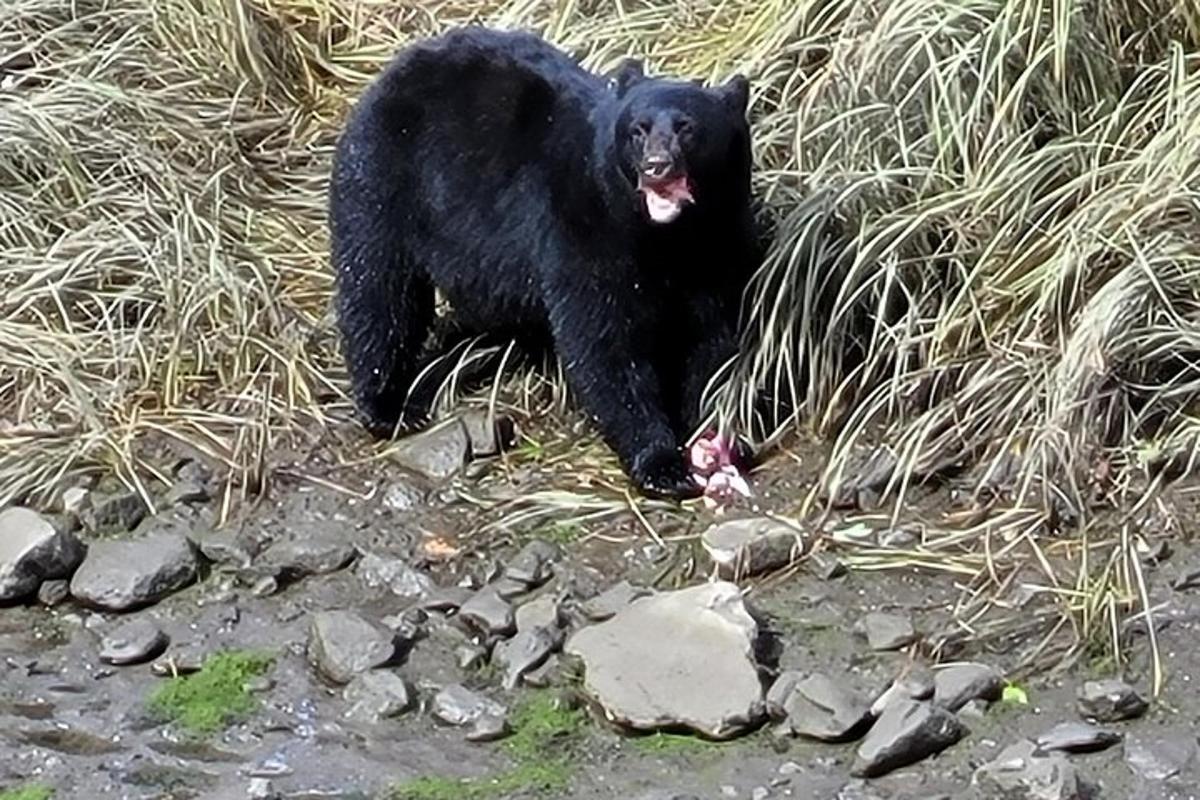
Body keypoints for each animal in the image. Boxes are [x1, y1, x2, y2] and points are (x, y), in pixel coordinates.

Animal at [328, 25, 758, 496]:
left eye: (687, 128)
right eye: (638, 130)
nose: (656, 166)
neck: (663, 237)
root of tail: (398, 66)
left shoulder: (715, 246)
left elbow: (712, 337)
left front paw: (717, 432)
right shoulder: (584, 228)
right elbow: (604, 343)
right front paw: (661, 464)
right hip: (384, 179)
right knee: (378, 288)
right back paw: (388, 405)